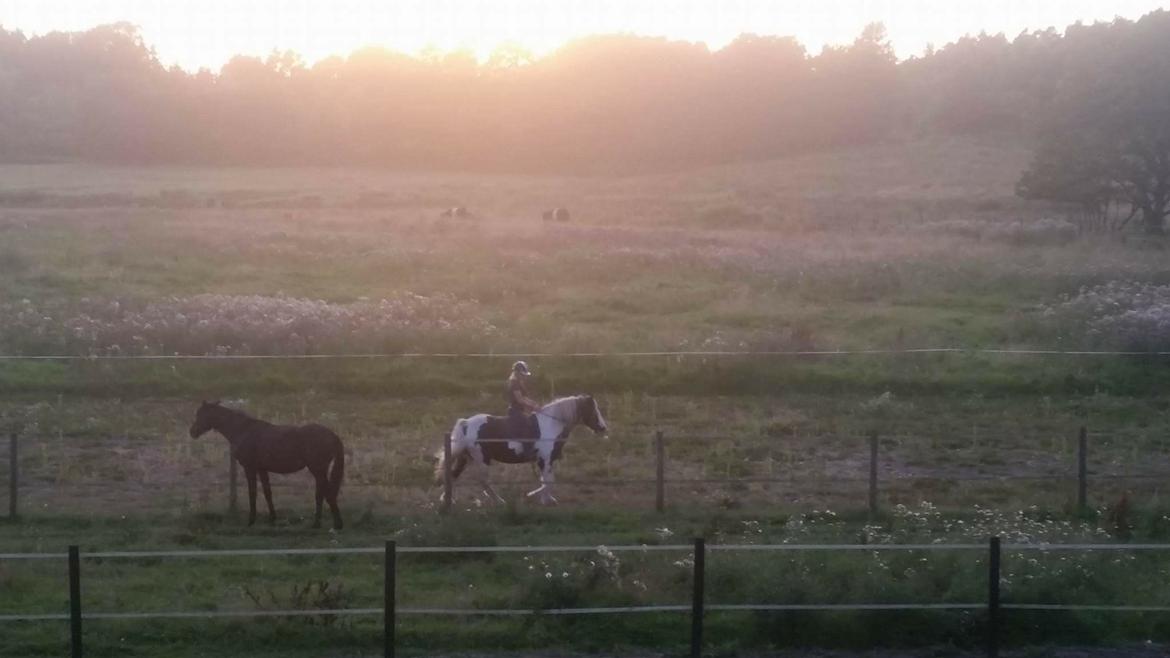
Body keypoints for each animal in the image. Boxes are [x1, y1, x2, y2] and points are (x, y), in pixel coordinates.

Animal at [189, 400, 343, 526]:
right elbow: (267, 492)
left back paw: (331, 524)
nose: (192, 432)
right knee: (322, 493)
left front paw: (251, 520)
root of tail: (333, 435)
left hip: (317, 469)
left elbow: (253, 492)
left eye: (201, 414)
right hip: (319, 471)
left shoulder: (250, 468)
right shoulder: (262, 469)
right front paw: (272, 518)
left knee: (326, 492)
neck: (243, 430)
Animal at [435, 391, 608, 503]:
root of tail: (466, 423)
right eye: (593, 409)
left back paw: (448, 499)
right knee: (483, 482)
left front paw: (546, 498)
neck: (551, 425)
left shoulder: (546, 460)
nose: (603, 428)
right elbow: (548, 481)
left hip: (465, 458)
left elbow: (547, 480)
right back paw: (499, 500)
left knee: (453, 476)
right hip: (482, 459)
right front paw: (535, 496)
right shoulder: (545, 459)